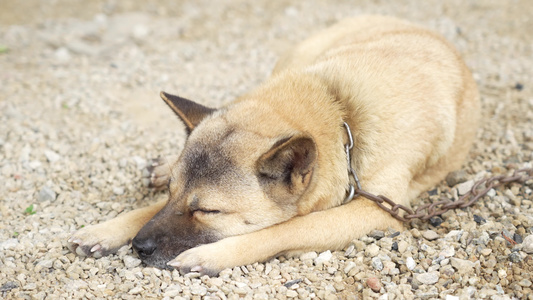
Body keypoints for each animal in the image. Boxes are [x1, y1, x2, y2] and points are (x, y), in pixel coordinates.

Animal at [66, 15, 478, 276]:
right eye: (171, 194)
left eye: (208, 212)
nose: (139, 247)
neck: (340, 111)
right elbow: (149, 209)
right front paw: (108, 229)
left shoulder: (375, 211)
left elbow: (288, 229)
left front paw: (215, 254)